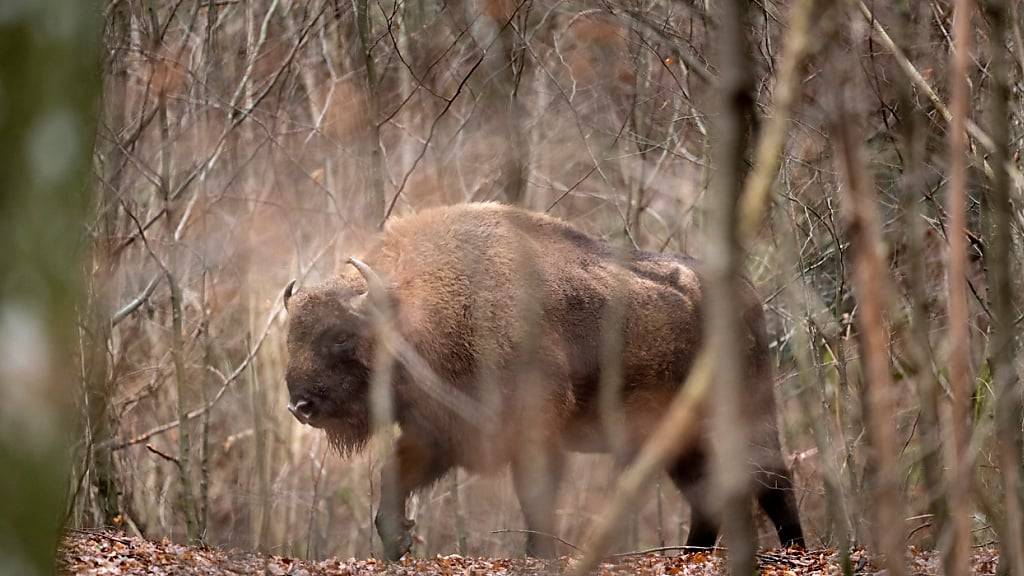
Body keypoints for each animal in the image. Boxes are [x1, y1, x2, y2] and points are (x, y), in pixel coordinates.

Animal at [284, 200, 802, 557]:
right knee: (707, 493)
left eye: (341, 337)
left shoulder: (534, 434)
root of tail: (748, 294)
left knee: (771, 477)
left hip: (748, 414)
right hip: (680, 436)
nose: (299, 406)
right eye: (291, 336)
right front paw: (399, 540)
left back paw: (794, 548)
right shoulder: (437, 436)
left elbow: (536, 502)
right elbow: (393, 482)